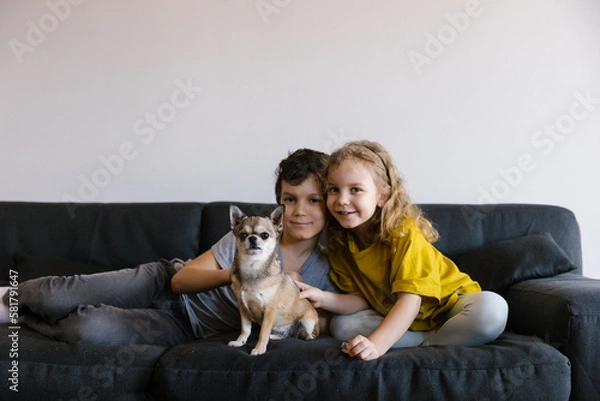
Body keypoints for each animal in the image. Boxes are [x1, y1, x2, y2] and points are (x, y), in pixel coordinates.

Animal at [226, 205, 318, 354]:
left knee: (306, 334)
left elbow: (263, 332)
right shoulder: (243, 308)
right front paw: (239, 341)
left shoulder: (269, 310)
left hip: (308, 321)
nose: (252, 238)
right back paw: (275, 335)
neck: (252, 267)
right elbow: (245, 329)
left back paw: (309, 337)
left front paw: (259, 349)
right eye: (243, 235)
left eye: (265, 235)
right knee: (286, 335)